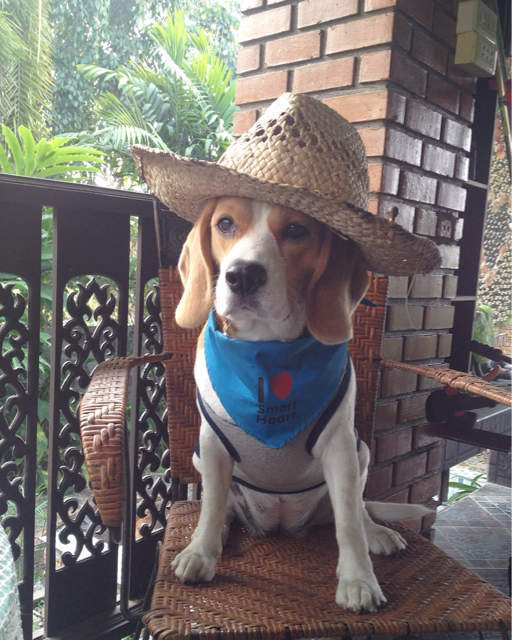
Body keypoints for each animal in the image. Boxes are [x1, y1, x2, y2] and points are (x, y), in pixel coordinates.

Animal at [168, 195, 430, 613]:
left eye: (295, 230)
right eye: (225, 224)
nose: (242, 276)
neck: (266, 349)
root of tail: (281, 524)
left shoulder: (341, 450)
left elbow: (349, 524)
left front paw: (358, 579)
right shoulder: (210, 446)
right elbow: (210, 506)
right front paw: (201, 551)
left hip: (361, 452)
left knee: (358, 511)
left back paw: (377, 532)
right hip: (199, 459)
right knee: (222, 506)